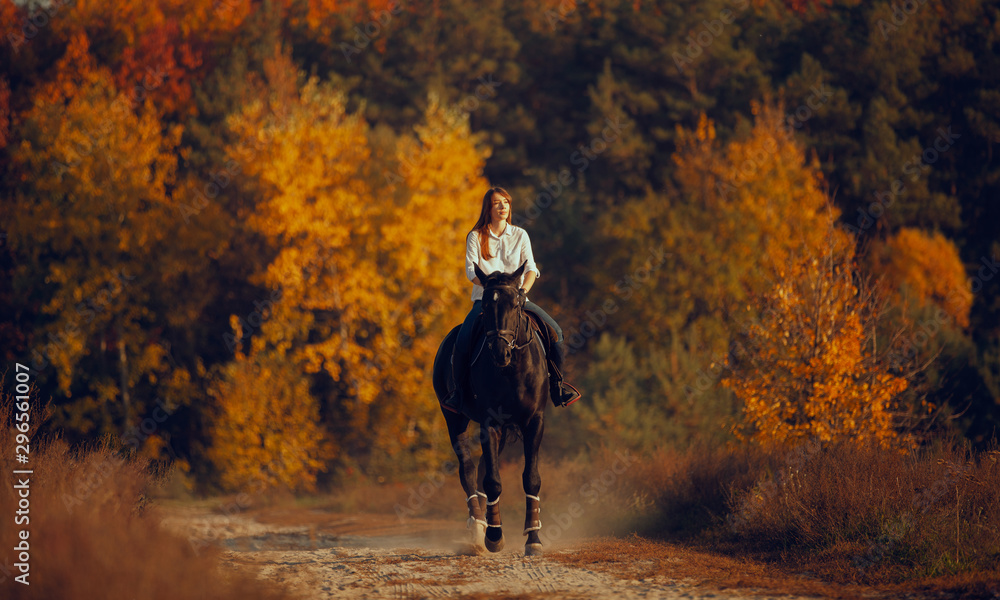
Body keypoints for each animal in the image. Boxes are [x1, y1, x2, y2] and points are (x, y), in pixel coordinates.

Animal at [432, 262, 548, 556]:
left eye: (516, 303)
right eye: (485, 305)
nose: (499, 351)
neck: (512, 369)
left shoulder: (534, 421)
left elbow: (531, 478)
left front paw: (533, 538)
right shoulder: (489, 423)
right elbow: (492, 480)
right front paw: (494, 536)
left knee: (483, 466)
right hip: (454, 419)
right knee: (468, 469)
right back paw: (477, 527)